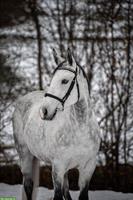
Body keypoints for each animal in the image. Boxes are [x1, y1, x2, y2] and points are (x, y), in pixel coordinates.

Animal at [12, 49, 100, 200]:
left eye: (64, 81)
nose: (44, 111)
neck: (81, 129)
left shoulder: (88, 168)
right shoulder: (58, 167)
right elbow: (57, 195)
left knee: (66, 191)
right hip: (25, 155)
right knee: (28, 186)